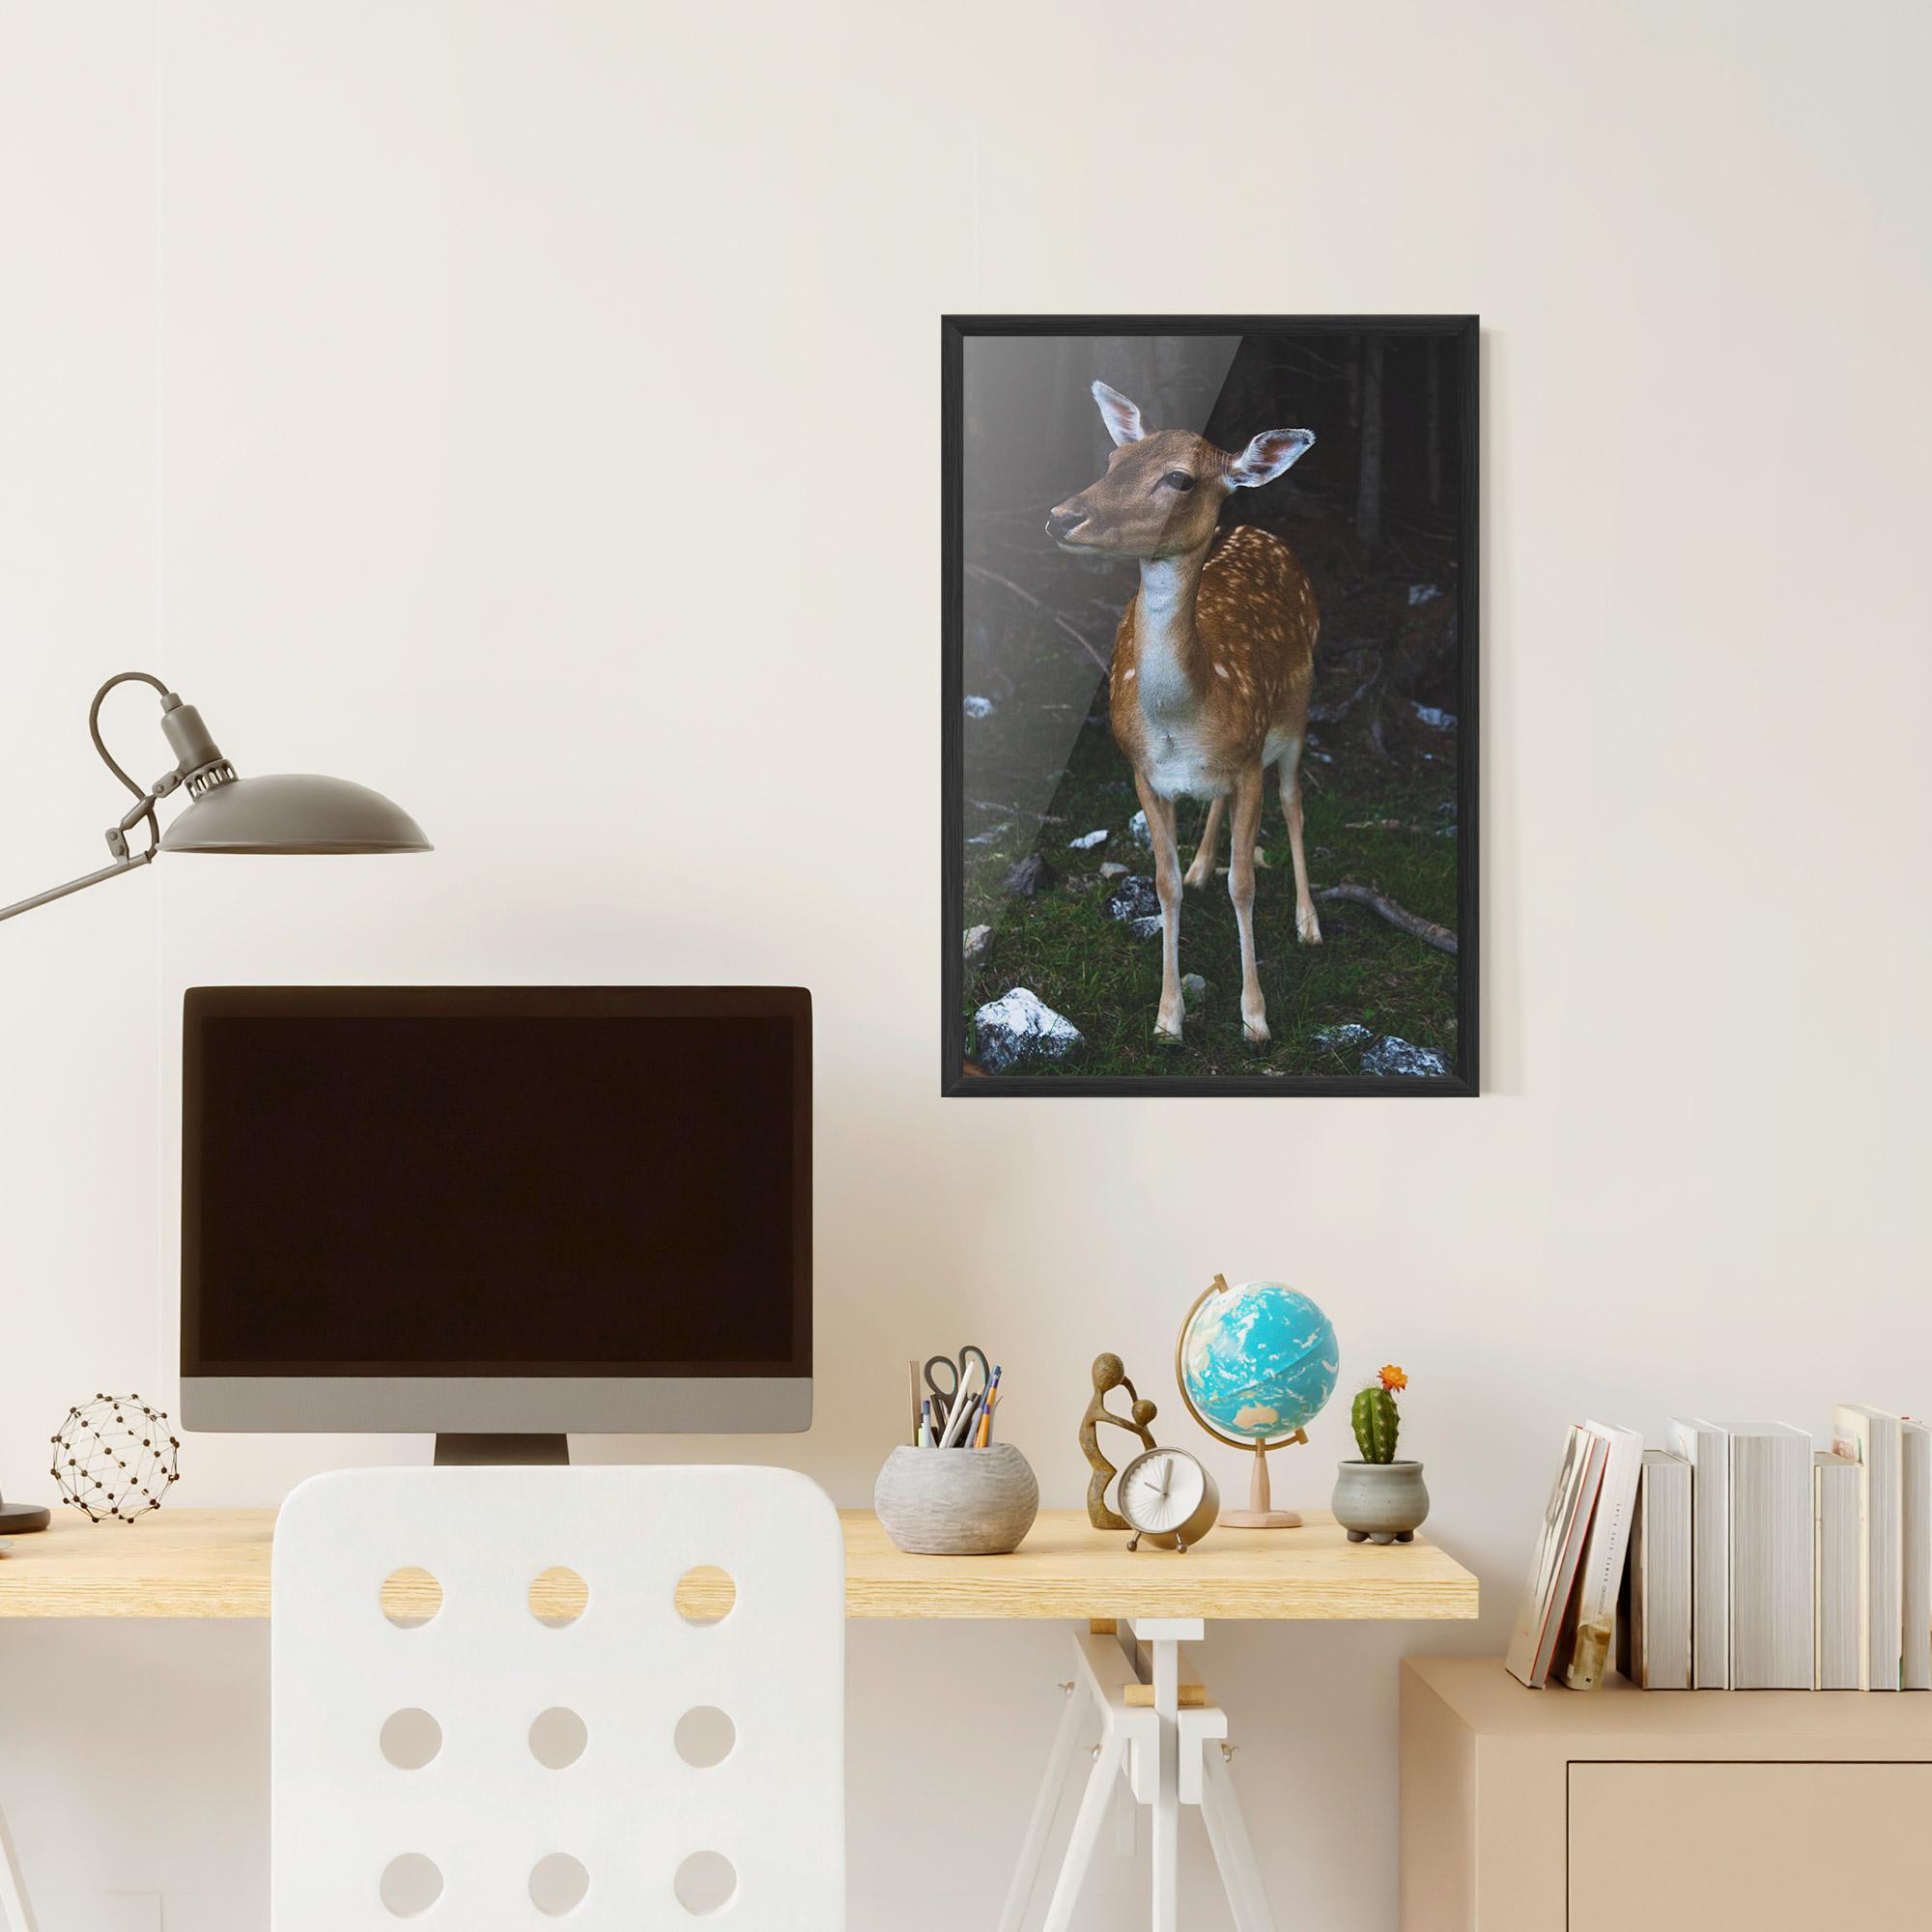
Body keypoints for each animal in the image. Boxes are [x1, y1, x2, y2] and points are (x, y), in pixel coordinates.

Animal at [1046, 380, 1322, 1047]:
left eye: (1180, 479)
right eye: (1114, 460)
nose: (1062, 516)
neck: (1186, 715)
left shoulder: (1249, 760)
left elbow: (1244, 884)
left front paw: (1255, 1018)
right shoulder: (1143, 771)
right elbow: (1163, 884)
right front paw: (1168, 1017)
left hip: (1297, 713)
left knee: (1294, 801)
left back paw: (1309, 923)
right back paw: (1201, 866)